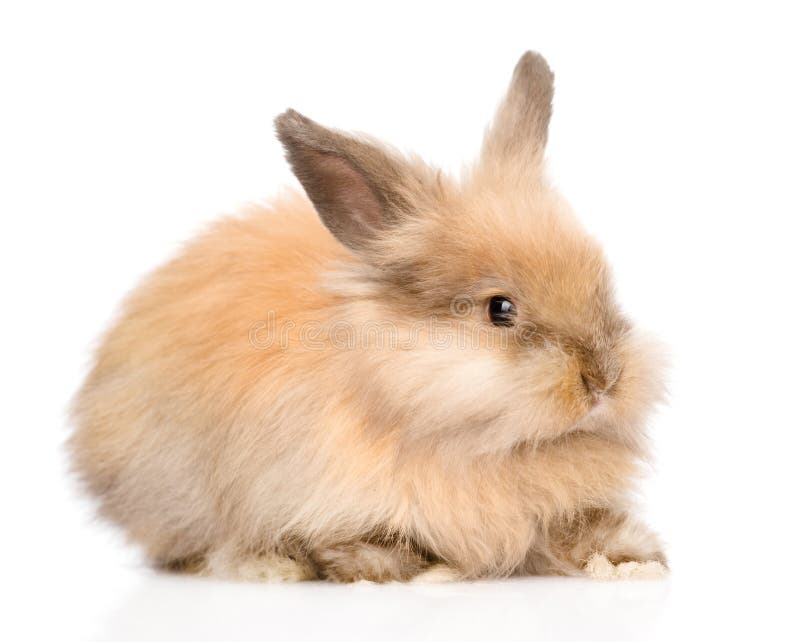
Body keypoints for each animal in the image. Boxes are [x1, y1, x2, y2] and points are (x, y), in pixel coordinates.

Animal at [69, 51, 667, 583]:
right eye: (500, 309)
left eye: (602, 283)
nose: (603, 380)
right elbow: (362, 546)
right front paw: (413, 571)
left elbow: (584, 528)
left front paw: (635, 561)